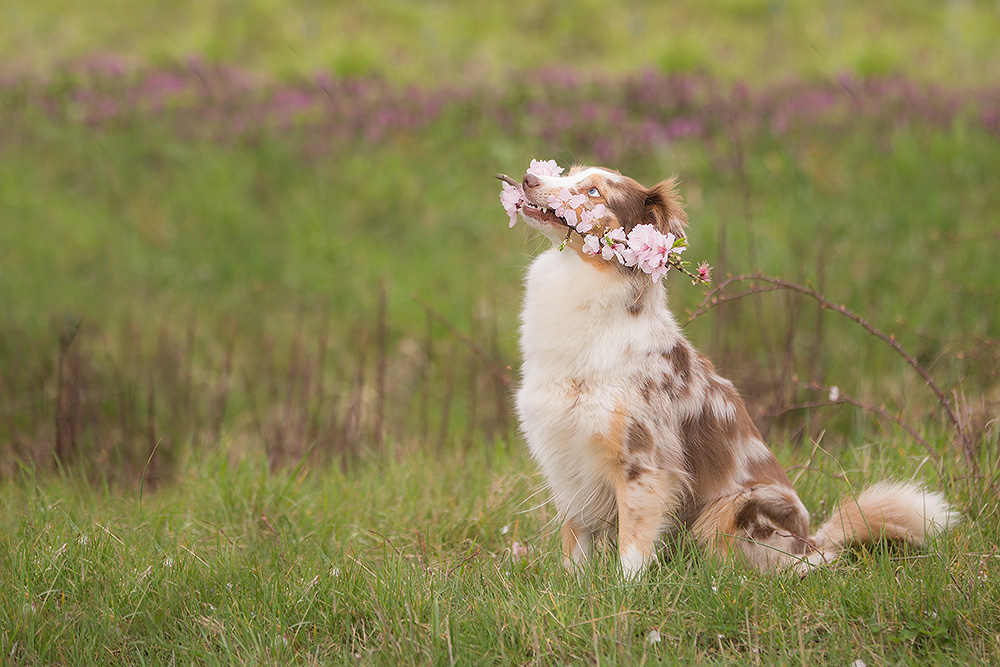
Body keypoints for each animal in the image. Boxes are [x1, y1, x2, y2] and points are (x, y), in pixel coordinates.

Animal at [504, 163, 956, 580]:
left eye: (594, 191)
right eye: (568, 172)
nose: (527, 178)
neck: (582, 279)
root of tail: (811, 541)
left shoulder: (643, 462)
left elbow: (633, 547)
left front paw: (625, 593)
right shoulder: (566, 456)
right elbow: (575, 545)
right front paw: (576, 589)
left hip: (738, 507)